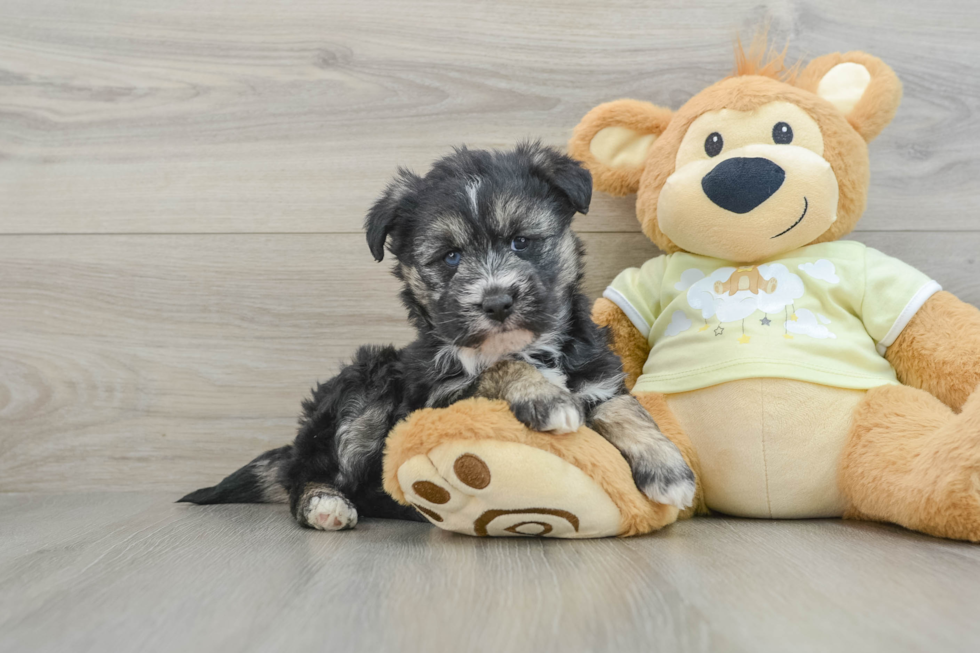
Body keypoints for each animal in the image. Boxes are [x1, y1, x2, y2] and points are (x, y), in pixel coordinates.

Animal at [180, 143, 692, 528]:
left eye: (521, 242)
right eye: (450, 257)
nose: (497, 302)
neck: (524, 344)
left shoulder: (597, 375)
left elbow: (624, 408)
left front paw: (667, 467)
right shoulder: (436, 399)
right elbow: (499, 370)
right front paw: (545, 398)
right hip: (366, 384)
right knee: (312, 472)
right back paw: (325, 504)